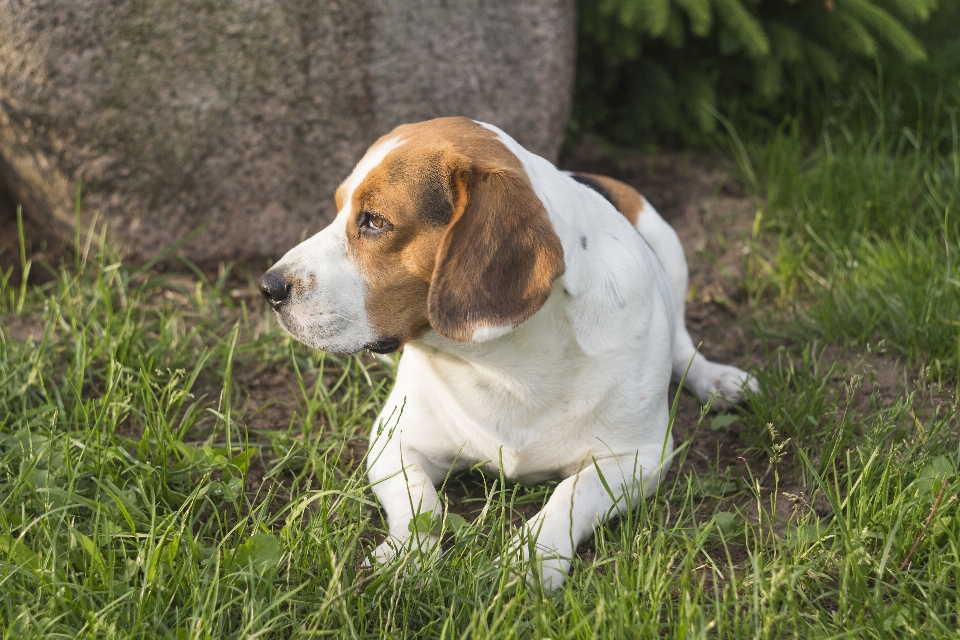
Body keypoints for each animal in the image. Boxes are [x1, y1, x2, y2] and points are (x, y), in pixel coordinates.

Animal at [256, 116, 756, 592]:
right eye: (339, 208)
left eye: (375, 221)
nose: (268, 287)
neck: (504, 364)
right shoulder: (392, 441)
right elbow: (420, 505)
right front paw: (408, 554)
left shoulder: (639, 457)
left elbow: (570, 494)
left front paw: (532, 558)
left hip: (670, 249)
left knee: (684, 346)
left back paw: (718, 380)